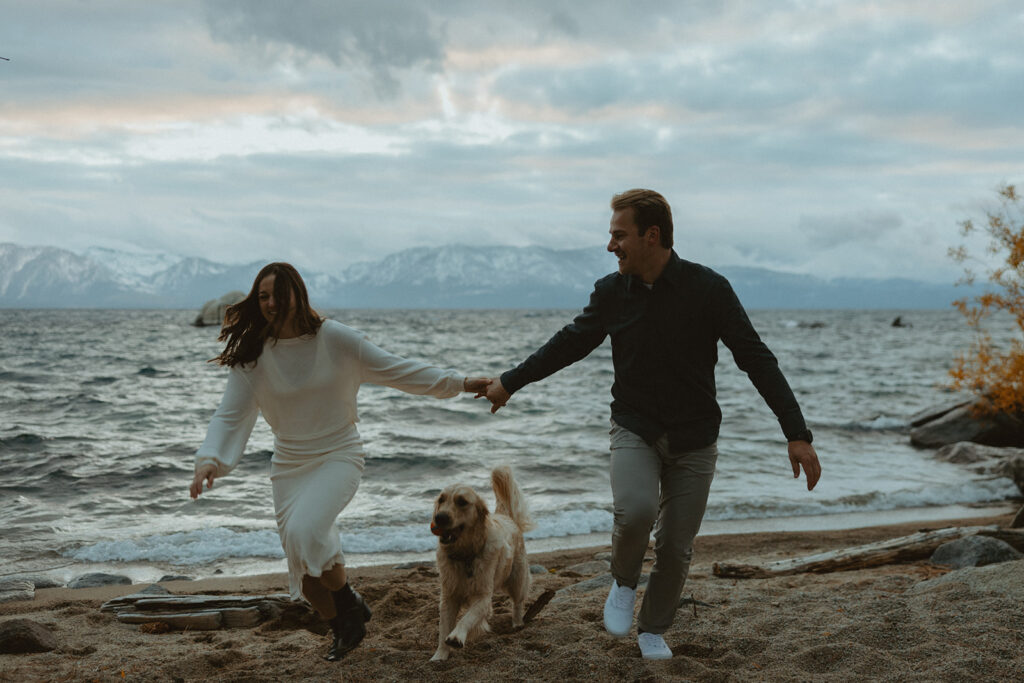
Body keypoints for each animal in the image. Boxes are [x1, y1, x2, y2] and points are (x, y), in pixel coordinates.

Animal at [428, 464, 536, 663]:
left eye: (462, 501)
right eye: (441, 499)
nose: (440, 517)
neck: (465, 554)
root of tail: (506, 516)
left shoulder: (484, 597)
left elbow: (467, 618)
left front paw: (457, 637)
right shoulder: (449, 596)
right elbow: (444, 628)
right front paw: (439, 656)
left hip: (518, 578)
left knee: (518, 602)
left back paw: (517, 624)